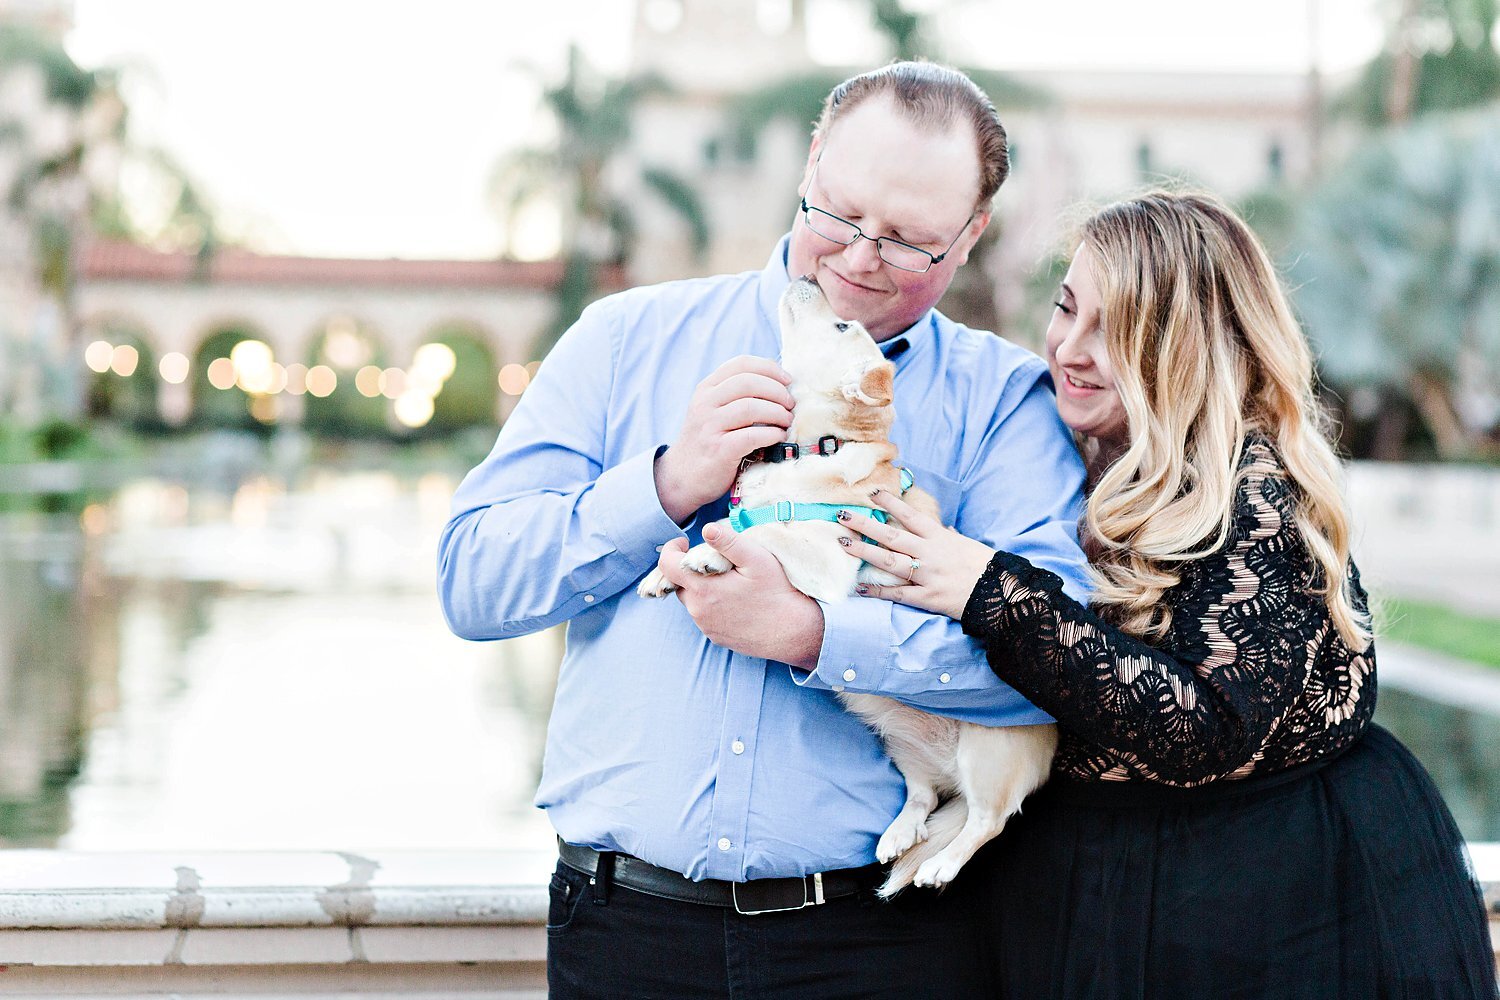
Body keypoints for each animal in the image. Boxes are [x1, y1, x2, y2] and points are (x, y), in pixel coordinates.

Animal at [639, 277, 1062, 893]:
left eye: (842, 324)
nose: (809, 279)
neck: (809, 448)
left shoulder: (825, 556)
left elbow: (765, 533)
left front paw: (709, 557)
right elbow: (739, 525)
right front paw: (663, 571)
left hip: (988, 755)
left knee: (987, 821)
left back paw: (940, 863)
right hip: (900, 742)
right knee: (924, 795)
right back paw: (900, 834)